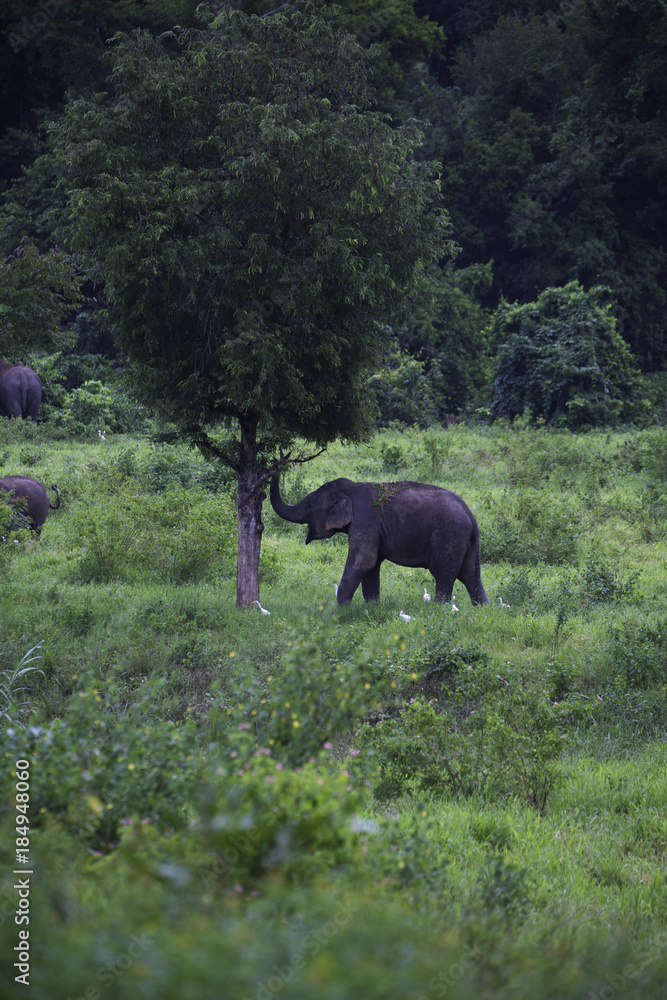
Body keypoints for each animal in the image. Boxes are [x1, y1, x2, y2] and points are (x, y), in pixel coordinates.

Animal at [270, 476, 488, 606]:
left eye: (308, 505)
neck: (352, 487)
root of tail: (472, 516)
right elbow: (371, 565)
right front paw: (372, 607)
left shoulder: (365, 521)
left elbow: (363, 561)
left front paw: (342, 610)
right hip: (466, 541)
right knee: (470, 575)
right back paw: (481, 609)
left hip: (449, 536)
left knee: (444, 574)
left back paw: (439, 609)